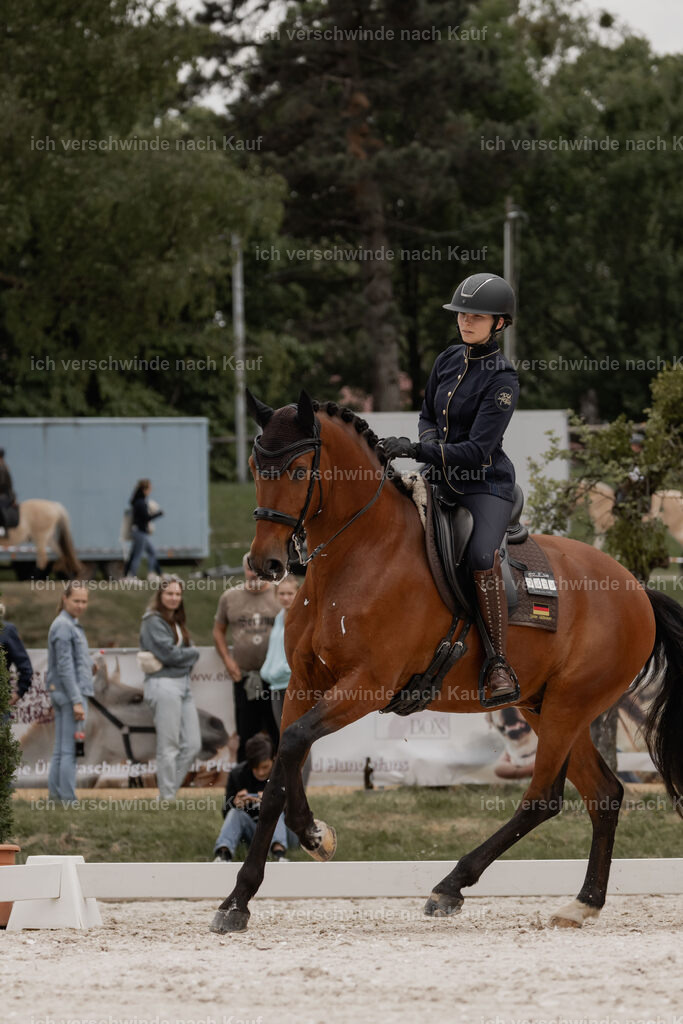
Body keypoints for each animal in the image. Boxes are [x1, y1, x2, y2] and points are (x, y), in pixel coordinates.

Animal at [211, 390, 683, 935]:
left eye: (299, 468)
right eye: (255, 466)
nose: (264, 563)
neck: (359, 555)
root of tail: (638, 591)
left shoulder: (367, 685)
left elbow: (291, 744)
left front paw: (304, 842)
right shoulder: (306, 683)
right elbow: (280, 770)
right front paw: (247, 892)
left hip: (569, 706)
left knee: (543, 797)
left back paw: (451, 885)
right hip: (548, 708)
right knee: (604, 795)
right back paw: (583, 902)